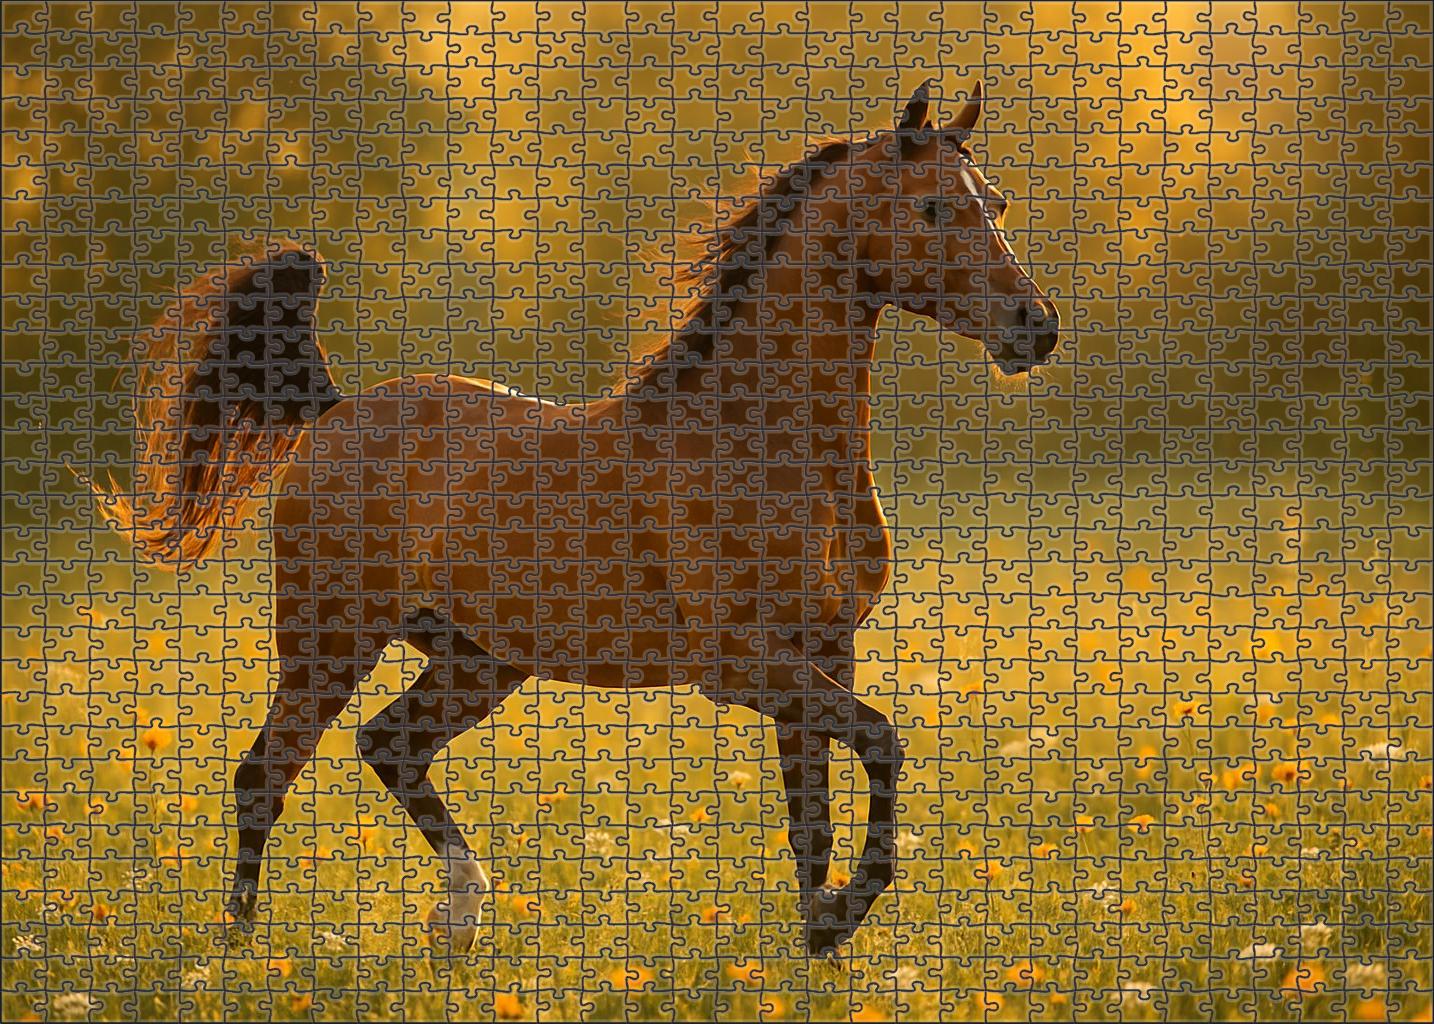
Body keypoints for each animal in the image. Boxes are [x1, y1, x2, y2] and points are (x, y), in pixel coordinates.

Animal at [91, 80, 1059, 958]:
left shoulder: (822, 649)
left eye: (998, 203)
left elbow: (811, 822)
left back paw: (460, 915)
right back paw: (244, 946)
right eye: (932, 207)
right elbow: (884, 743)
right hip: (330, 640)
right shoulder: (740, 662)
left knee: (389, 744)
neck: (757, 440)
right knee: (267, 771)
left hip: (480, 660)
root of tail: (331, 412)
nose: (1034, 325)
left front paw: (816, 947)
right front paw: (836, 923)